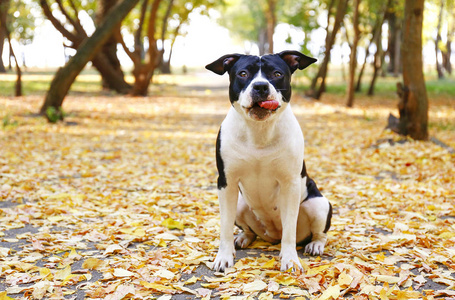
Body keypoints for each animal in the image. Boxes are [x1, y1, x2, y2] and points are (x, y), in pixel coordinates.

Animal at [206, 49, 332, 272]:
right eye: (243, 73)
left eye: (276, 73)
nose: (260, 86)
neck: (259, 131)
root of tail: (272, 237)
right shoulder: (226, 184)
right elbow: (225, 226)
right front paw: (223, 256)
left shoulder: (290, 184)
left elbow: (289, 230)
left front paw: (290, 259)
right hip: (240, 203)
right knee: (249, 230)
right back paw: (243, 238)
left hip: (319, 204)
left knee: (318, 233)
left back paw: (315, 245)